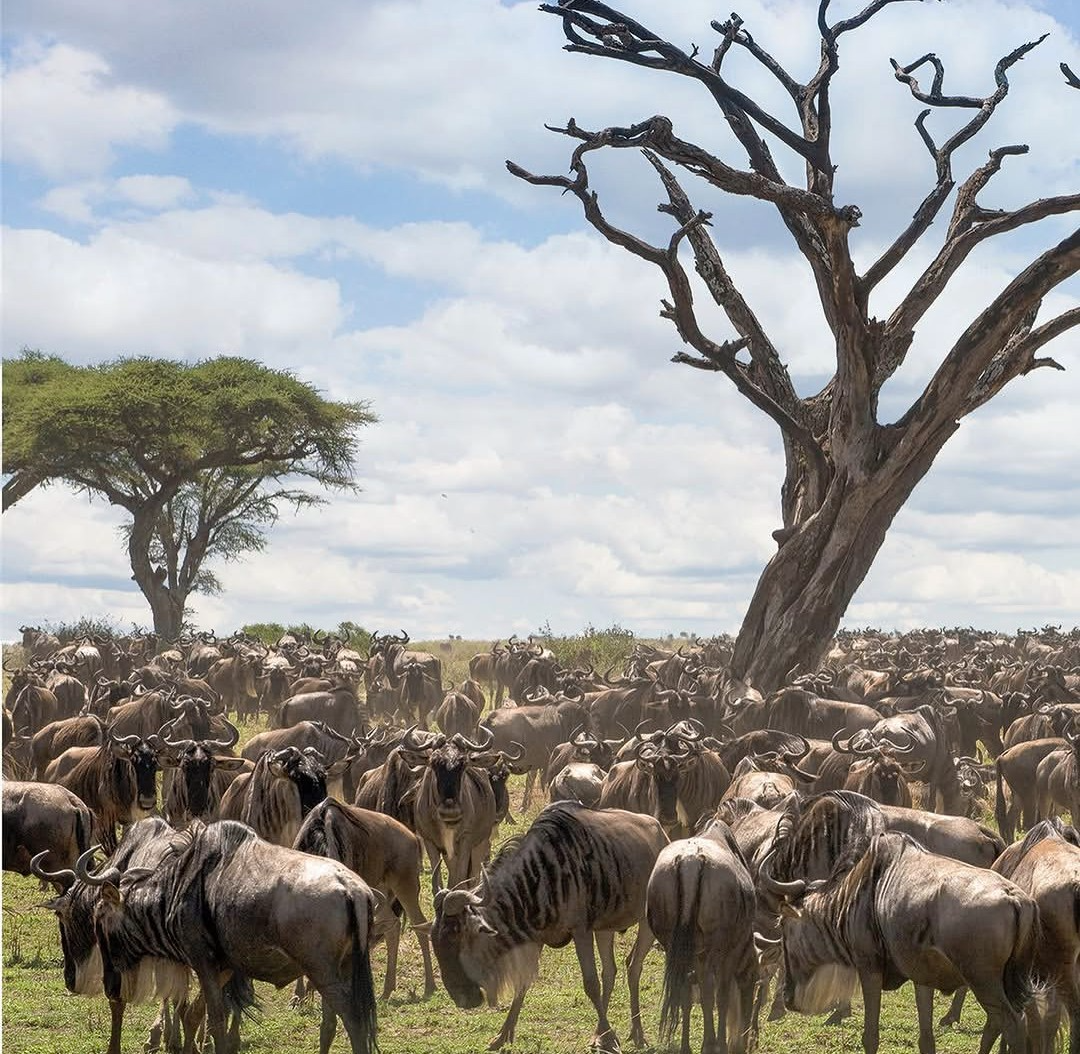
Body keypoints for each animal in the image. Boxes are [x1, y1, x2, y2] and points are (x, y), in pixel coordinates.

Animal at [426, 800, 668, 1052]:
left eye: (457, 934)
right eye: (435, 939)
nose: (461, 998)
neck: (540, 875)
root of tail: (661, 832)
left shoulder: (581, 932)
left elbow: (591, 983)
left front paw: (612, 1038)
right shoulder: (539, 936)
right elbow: (522, 984)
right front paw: (502, 1036)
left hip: (646, 925)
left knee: (633, 967)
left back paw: (637, 1034)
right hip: (605, 928)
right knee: (610, 970)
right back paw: (599, 1034)